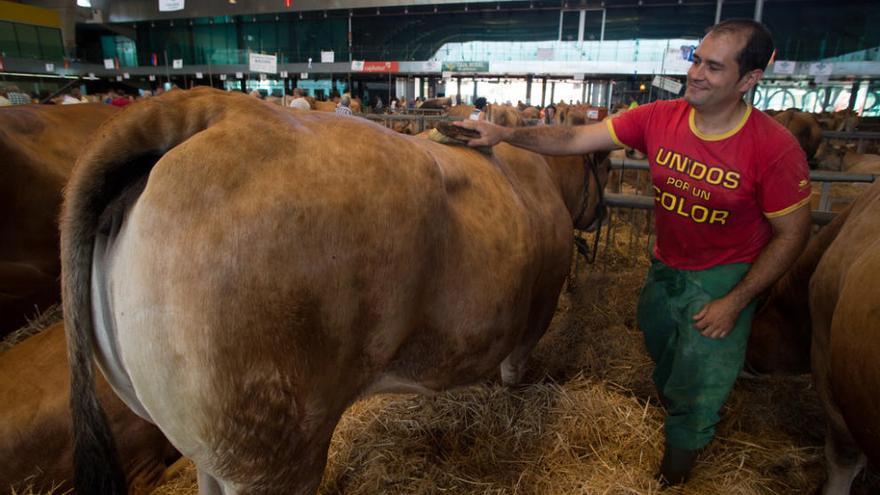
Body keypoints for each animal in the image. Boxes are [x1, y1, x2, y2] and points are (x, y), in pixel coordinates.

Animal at [63, 87, 612, 494]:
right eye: (604, 164)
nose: (602, 213)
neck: (541, 177)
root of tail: (214, 108)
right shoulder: (536, 312)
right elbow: (514, 373)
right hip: (273, 451)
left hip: (210, 452)